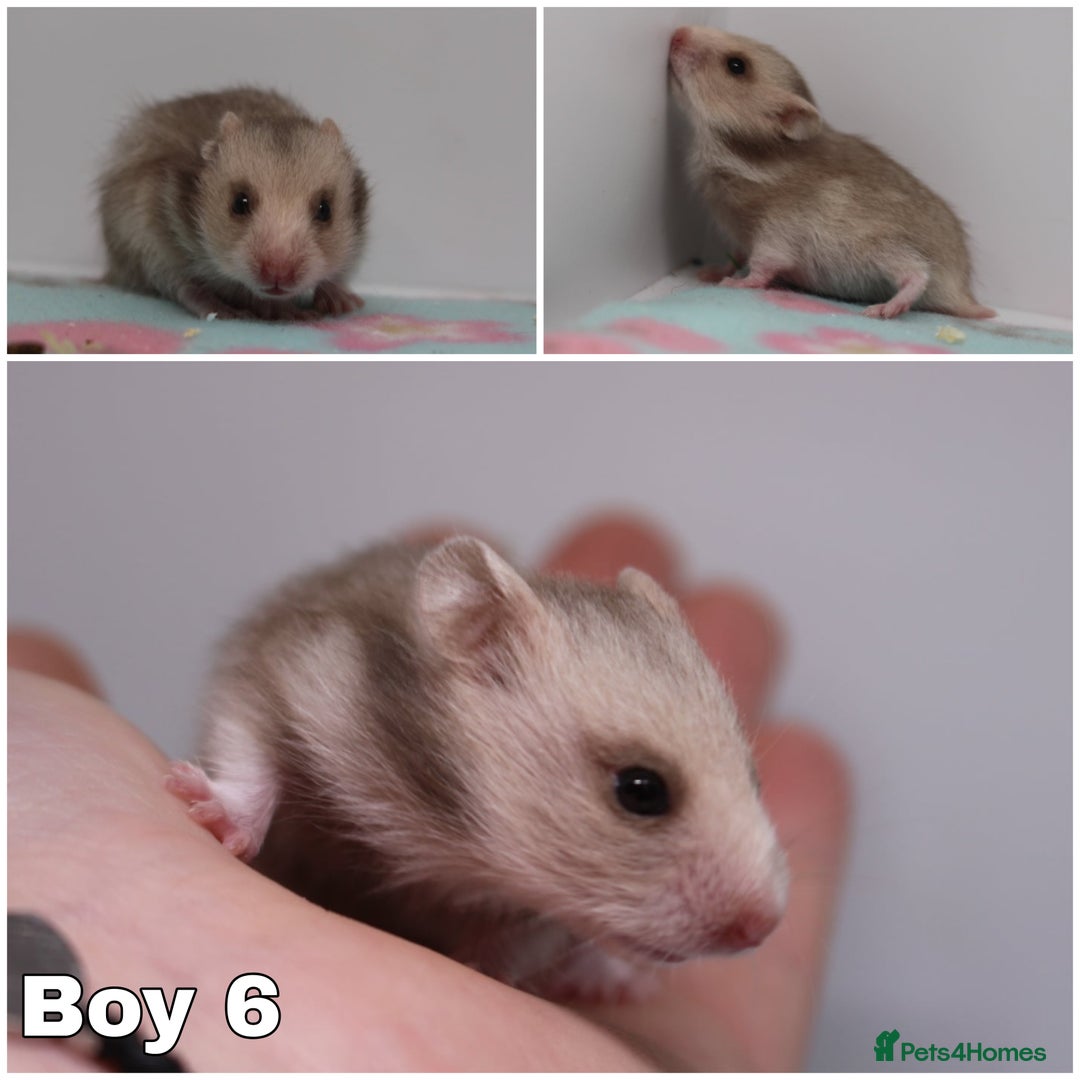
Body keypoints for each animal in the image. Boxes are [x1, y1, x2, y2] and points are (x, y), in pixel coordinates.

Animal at [98, 87, 369, 321]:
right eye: (240, 203)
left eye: (325, 210)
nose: (278, 275)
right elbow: (238, 289)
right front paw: (291, 313)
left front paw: (345, 303)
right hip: (140, 248)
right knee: (182, 287)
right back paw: (222, 310)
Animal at [166, 537, 788, 1002]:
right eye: (641, 790)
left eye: (756, 778)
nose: (764, 930)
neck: (455, 838)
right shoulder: (282, 664)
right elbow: (249, 748)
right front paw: (201, 809)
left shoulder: (552, 910)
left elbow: (530, 939)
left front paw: (476, 965)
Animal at [669, 28, 995, 320]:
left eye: (736, 66)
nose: (676, 32)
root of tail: (963, 293)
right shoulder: (741, 236)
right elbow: (736, 256)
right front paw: (711, 272)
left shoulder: (776, 233)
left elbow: (761, 267)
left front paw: (733, 283)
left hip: (879, 247)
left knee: (917, 272)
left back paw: (884, 309)